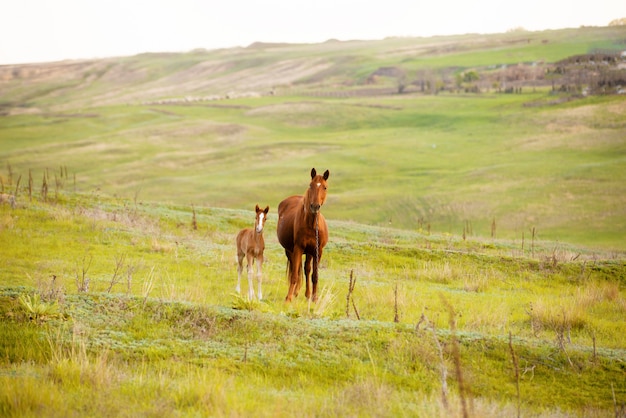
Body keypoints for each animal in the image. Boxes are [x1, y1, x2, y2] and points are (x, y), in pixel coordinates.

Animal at [276, 168, 330, 302]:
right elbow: (295, 275)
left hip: (309, 252)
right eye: (310, 185)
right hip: (290, 251)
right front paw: (288, 298)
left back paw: (307, 294)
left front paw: (315, 298)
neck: (312, 225)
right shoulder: (298, 248)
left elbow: (314, 275)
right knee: (295, 269)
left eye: (325, 187)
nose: (315, 206)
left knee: (306, 269)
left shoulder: (317, 251)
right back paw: (295, 292)